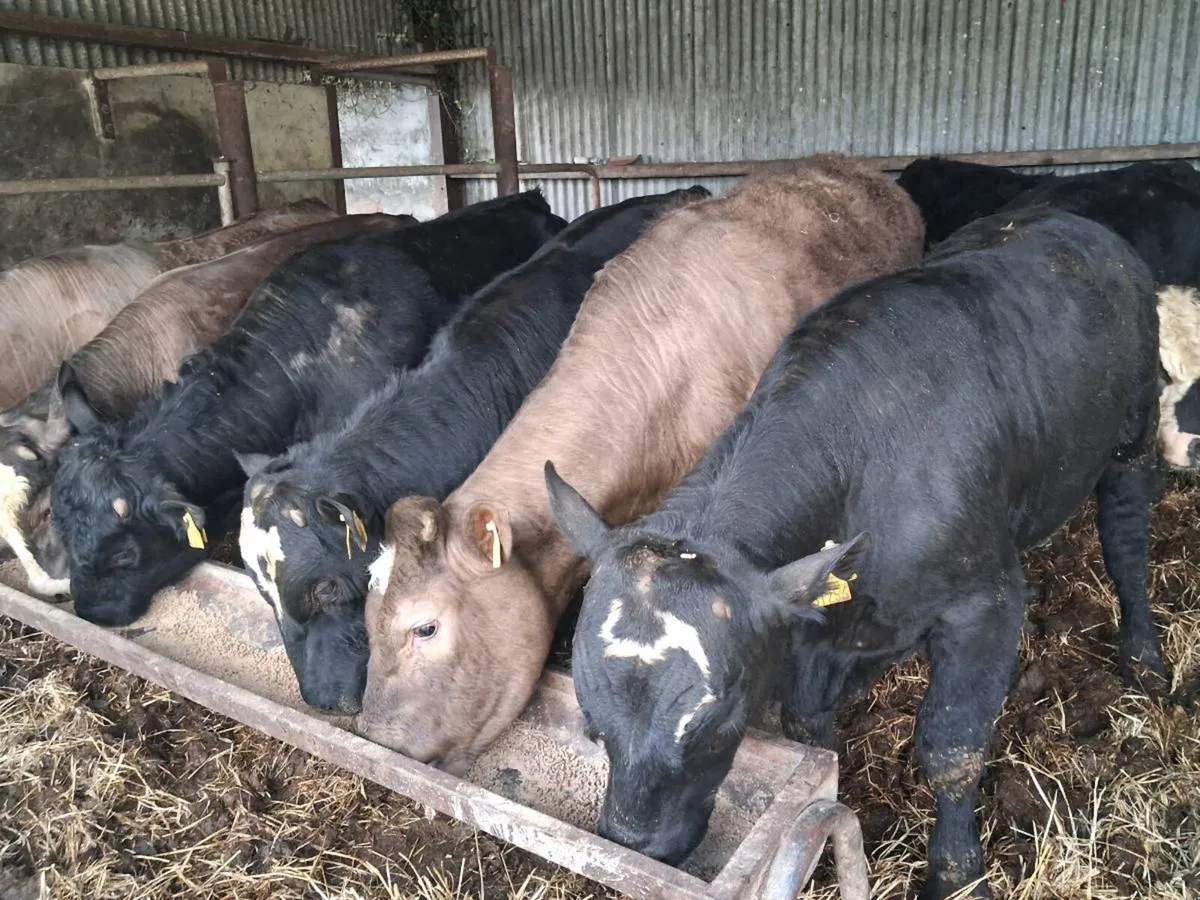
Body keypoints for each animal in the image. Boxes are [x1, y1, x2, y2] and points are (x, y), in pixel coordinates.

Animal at [545, 207, 1160, 900]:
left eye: (720, 720)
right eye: (589, 713)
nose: (634, 842)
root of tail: (1068, 218)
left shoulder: (985, 603)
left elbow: (952, 747)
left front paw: (955, 873)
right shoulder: (808, 632)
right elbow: (810, 731)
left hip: (1134, 429)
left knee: (1126, 529)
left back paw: (1144, 656)